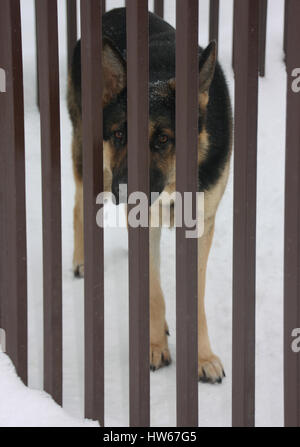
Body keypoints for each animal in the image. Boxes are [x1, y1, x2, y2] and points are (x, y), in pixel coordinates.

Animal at [68, 7, 232, 384]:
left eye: (162, 139)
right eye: (118, 134)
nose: (125, 190)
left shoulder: (201, 226)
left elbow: (193, 295)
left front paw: (202, 356)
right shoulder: (142, 218)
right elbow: (154, 291)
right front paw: (155, 347)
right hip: (96, 168)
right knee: (80, 207)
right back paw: (82, 258)